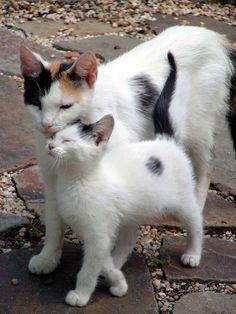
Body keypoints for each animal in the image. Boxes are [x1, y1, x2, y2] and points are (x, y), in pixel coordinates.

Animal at [20, 27, 236, 278]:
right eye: (36, 103)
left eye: (65, 106)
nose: (46, 125)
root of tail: (213, 36)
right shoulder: (51, 178)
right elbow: (55, 222)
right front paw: (48, 258)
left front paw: (111, 259)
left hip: (197, 128)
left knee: (205, 168)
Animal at [46, 52, 203, 306]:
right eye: (54, 137)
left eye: (67, 141)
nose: (50, 146)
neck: (76, 181)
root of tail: (164, 140)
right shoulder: (94, 233)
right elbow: (103, 261)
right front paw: (118, 281)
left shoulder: (98, 235)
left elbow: (88, 270)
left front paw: (81, 294)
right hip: (131, 213)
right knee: (128, 240)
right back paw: (119, 261)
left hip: (183, 202)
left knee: (196, 223)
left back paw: (193, 253)